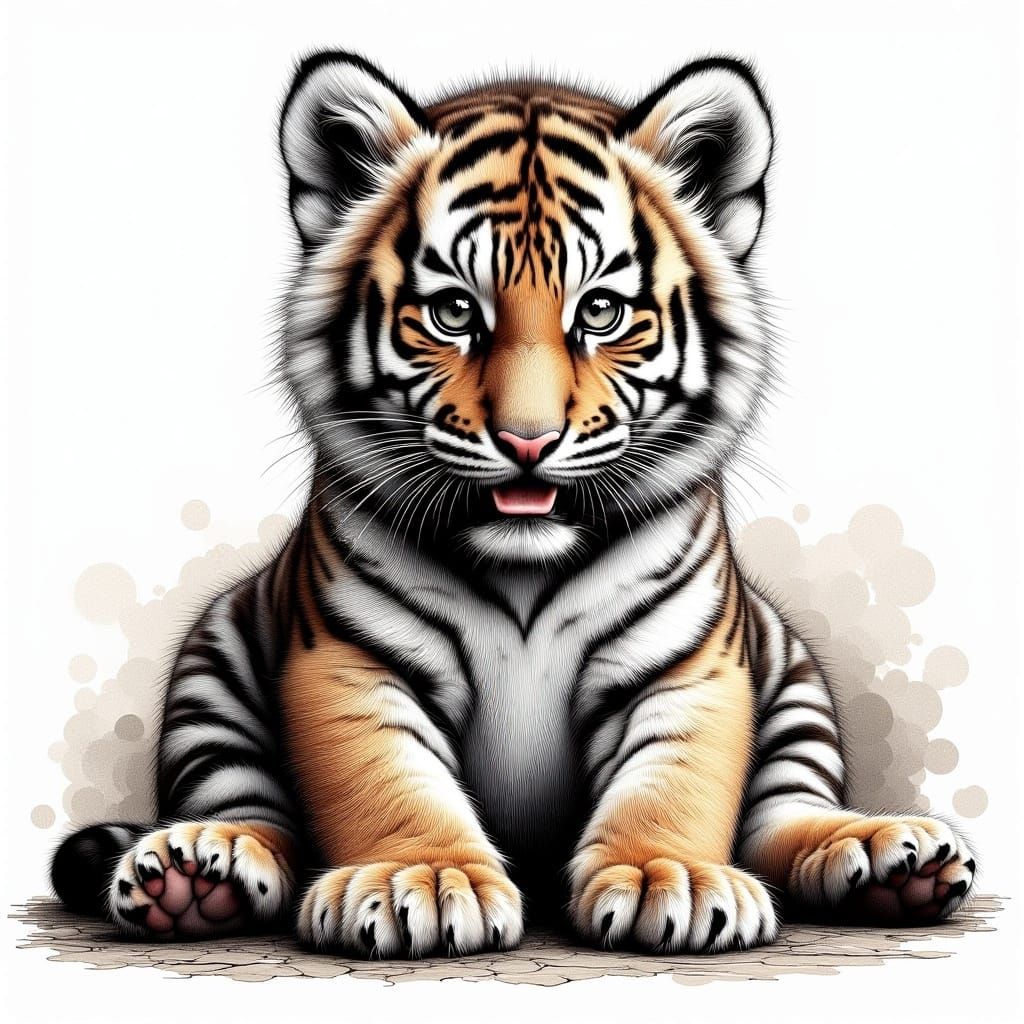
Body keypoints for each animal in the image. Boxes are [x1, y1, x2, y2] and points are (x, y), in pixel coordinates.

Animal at [50, 50, 977, 957]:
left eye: (600, 310)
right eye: (454, 310)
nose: (527, 440)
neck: (524, 570)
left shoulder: (690, 665)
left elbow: (674, 778)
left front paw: (667, 876)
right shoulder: (349, 660)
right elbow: (387, 777)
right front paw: (421, 880)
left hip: (794, 681)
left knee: (785, 808)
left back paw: (885, 854)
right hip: (213, 665)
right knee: (246, 803)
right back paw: (195, 872)